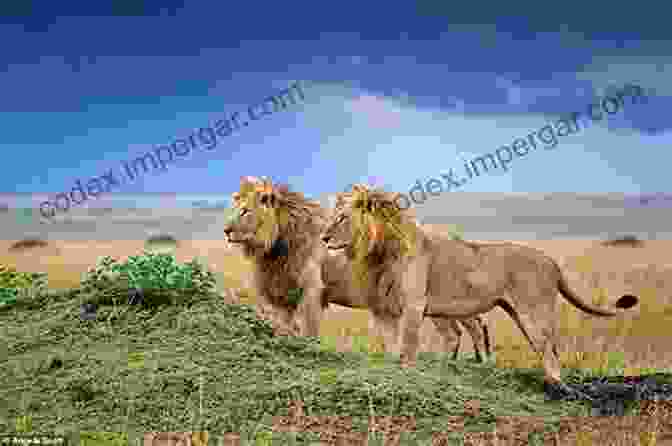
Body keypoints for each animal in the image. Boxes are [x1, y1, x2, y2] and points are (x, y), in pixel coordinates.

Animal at [223, 176, 330, 336]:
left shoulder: (313, 291)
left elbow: (309, 330)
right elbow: (283, 326)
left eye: (245, 211)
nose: (226, 230)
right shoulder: (283, 293)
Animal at [322, 184, 640, 398]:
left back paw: (557, 388)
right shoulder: (385, 307)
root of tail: (552, 261)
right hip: (517, 313)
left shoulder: (413, 306)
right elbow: (391, 346)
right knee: (545, 348)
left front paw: (407, 376)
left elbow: (408, 346)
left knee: (549, 349)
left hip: (533, 313)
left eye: (341, 218)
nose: (323, 238)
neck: (382, 251)